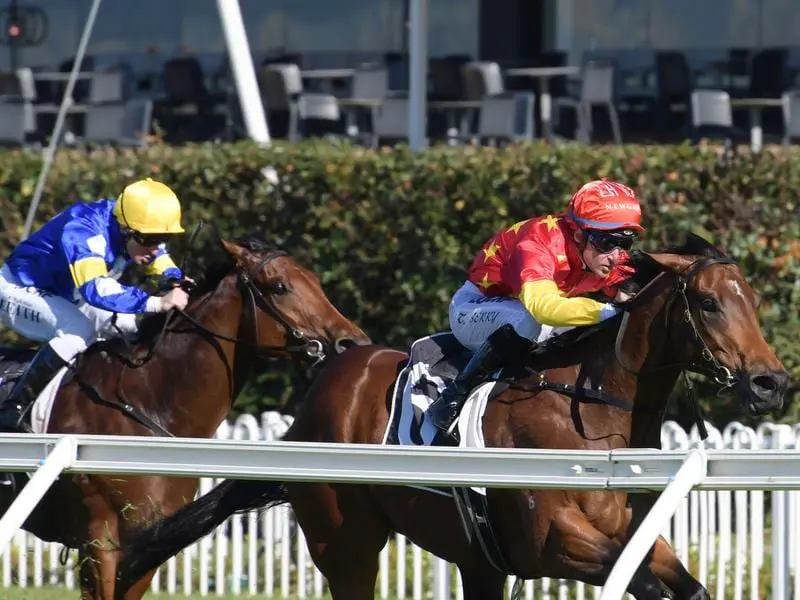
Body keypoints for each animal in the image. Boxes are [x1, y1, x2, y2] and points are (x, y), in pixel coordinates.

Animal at [0, 237, 370, 600]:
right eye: (279, 286)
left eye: (316, 281)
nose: (352, 341)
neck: (147, 402)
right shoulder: (99, 539)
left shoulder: (147, 542)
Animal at [115, 234, 792, 600]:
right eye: (708, 302)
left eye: (755, 301)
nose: (772, 382)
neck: (593, 428)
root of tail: (320, 397)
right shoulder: (556, 543)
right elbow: (642, 583)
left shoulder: (633, 534)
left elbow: (686, 584)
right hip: (346, 540)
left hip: (476, 559)